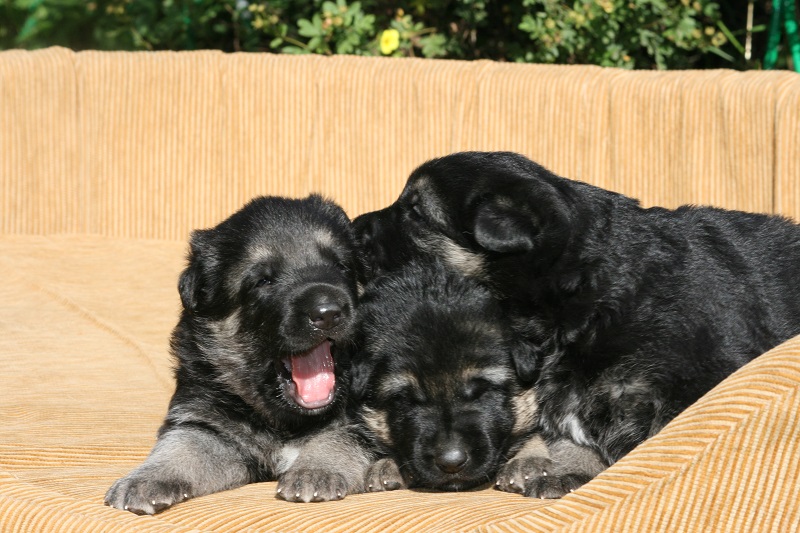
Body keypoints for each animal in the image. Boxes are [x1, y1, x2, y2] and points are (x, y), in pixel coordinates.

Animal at [104, 194, 376, 512]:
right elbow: (180, 447)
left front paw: (317, 469)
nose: (328, 312)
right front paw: (146, 478)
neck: (284, 420)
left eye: (341, 266)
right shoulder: (205, 423)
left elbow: (339, 436)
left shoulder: (365, 418)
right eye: (263, 281)